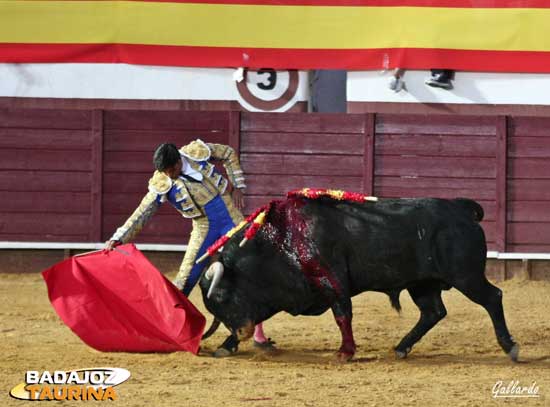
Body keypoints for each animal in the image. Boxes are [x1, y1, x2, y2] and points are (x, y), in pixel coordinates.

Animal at [201, 196, 520, 362]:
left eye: (221, 296)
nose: (241, 332)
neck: (279, 242)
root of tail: (460, 208)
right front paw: (226, 345)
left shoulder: (333, 283)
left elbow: (343, 316)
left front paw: (345, 352)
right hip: (422, 284)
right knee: (433, 312)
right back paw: (402, 347)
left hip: (466, 276)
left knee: (493, 298)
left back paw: (510, 347)